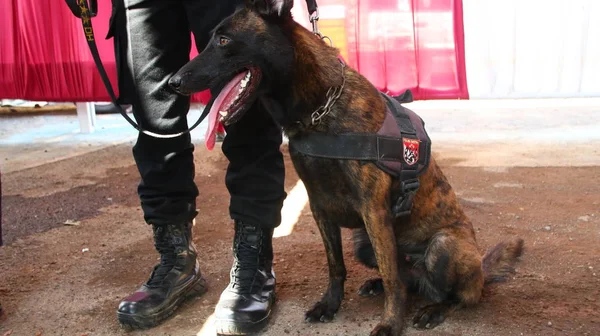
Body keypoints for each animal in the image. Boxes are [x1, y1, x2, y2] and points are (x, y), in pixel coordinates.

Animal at [170, 0, 524, 334]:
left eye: (224, 40)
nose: (172, 82)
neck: (319, 110)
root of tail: (481, 268)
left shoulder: (374, 210)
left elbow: (393, 279)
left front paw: (390, 323)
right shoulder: (320, 207)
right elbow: (336, 266)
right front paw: (331, 305)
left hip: (443, 245)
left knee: (458, 294)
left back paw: (434, 309)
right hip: (363, 243)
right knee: (404, 276)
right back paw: (380, 285)